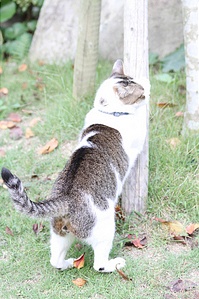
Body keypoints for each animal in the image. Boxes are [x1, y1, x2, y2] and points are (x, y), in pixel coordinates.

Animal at [1, 60, 149, 274]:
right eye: (141, 93)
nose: (146, 88)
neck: (108, 113)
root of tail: (66, 199)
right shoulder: (138, 134)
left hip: (59, 234)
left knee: (55, 260)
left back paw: (68, 263)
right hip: (105, 228)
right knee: (99, 265)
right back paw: (114, 264)